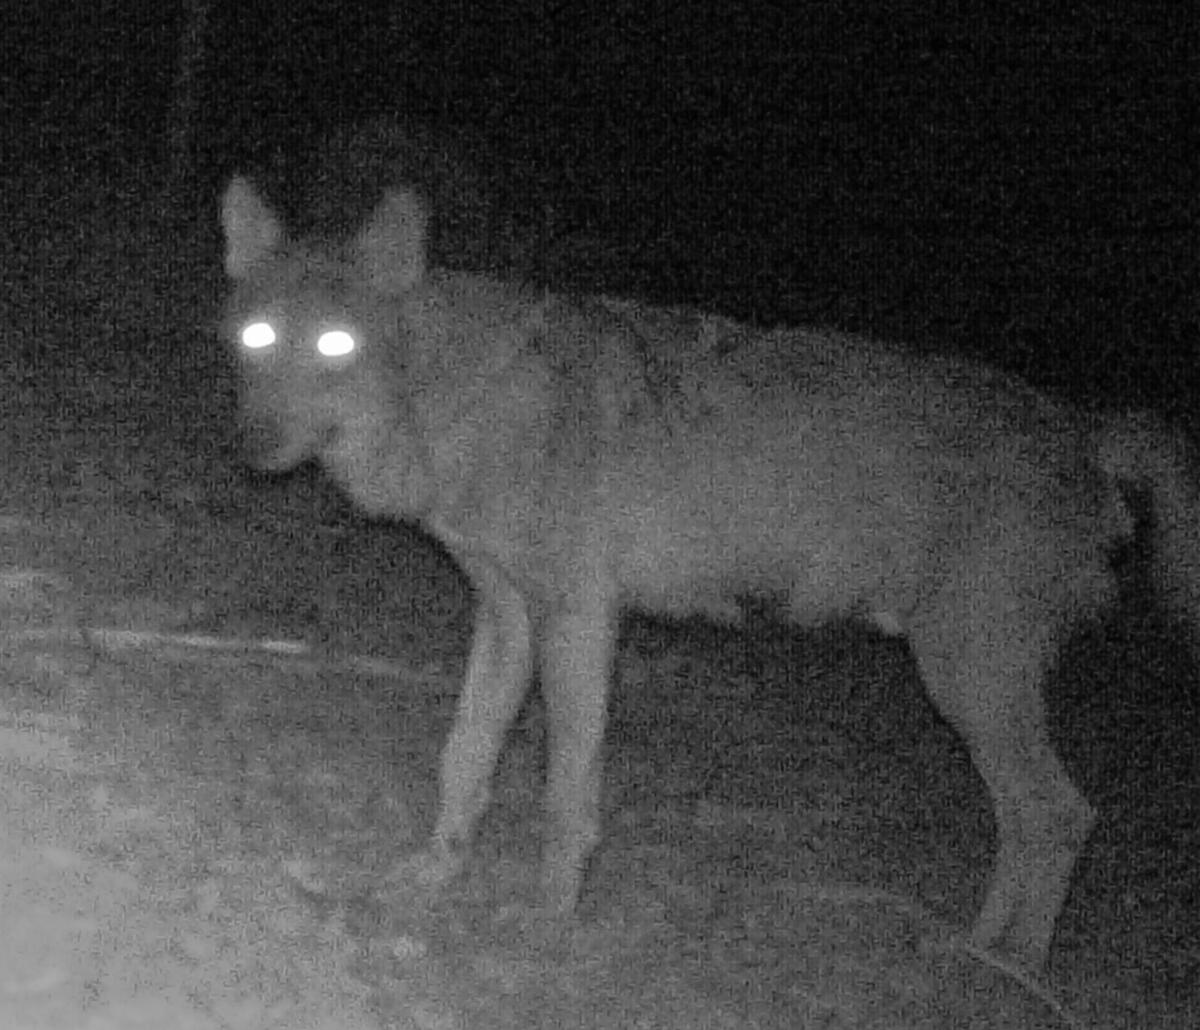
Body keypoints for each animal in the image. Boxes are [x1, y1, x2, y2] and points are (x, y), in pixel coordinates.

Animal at [220, 174, 1198, 975]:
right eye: (258, 336)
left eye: (337, 344)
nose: (251, 445)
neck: (465, 398)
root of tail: (1083, 427)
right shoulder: (505, 615)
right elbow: (464, 754)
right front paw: (429, 873)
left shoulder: (580, 618)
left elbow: (567, 789)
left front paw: (547, 920)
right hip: (968, 687)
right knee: (1031, 820)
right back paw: (979, 952)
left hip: (966, 679)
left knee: (1060, 814)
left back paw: (1016, 973)